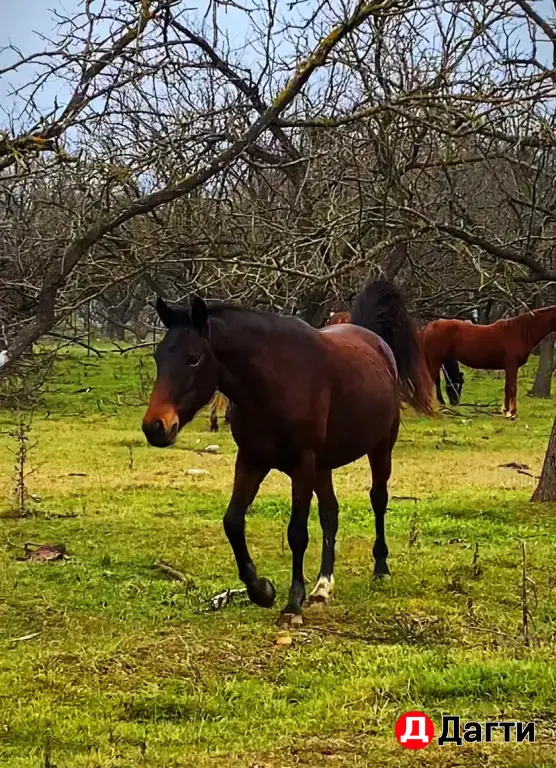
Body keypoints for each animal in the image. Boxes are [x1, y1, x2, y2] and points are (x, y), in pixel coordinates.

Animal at [142, 280, 433, 625]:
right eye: (158, 356)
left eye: (194, 358)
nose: (155, 427)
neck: (273, 383)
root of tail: (373, 338)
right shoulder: (251, 460)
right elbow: (233, 522)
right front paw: (262, 591)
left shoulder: (302, 466)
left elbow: (297, 533)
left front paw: (292, 604)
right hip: (323, 466)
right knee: (330, 514)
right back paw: (322, 587)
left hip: (379, 449)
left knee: (378, 499)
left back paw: (380, 568)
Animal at [421, 305, 556, 419]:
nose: (455, 402)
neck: (521, 332)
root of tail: (428, 327)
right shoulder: (512, 365)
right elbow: (512, 388)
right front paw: (512, 413)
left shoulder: (509, 367)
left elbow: (507, 387)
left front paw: (506, 410)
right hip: (435, 359)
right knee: (435, 381)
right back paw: (440, 403)